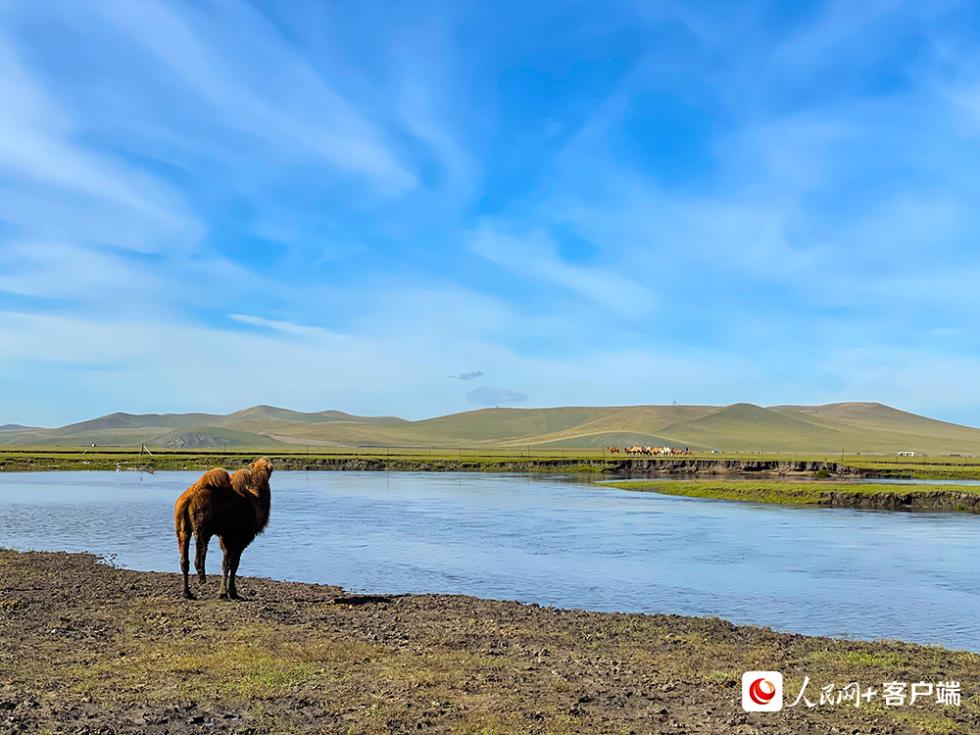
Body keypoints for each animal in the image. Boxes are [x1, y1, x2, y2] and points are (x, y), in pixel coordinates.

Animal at [172, 458, 272, 600]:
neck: (256, 500)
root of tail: (188, 498)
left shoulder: (225, 537)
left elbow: (225, 563)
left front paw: (224, 592)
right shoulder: (239, 536)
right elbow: (233, 563)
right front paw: (231, 593)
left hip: (181, 526)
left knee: (184, 558)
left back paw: (187, 593)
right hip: (203, 524)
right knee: (200, 551)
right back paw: (201, 577)